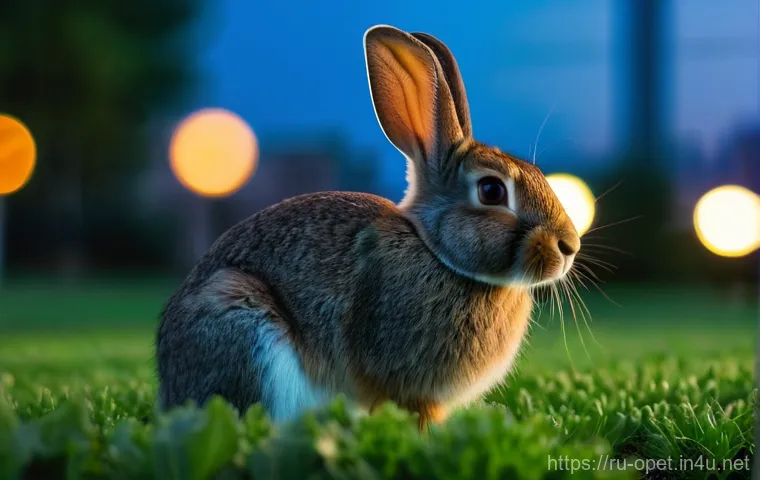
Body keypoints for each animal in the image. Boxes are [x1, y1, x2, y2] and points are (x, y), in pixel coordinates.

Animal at [156, 24, 581, 429]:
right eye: (492, 190)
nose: (569, 246)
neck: (438, 253)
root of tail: (171, 383)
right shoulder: (410, 388)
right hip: (243, 324)